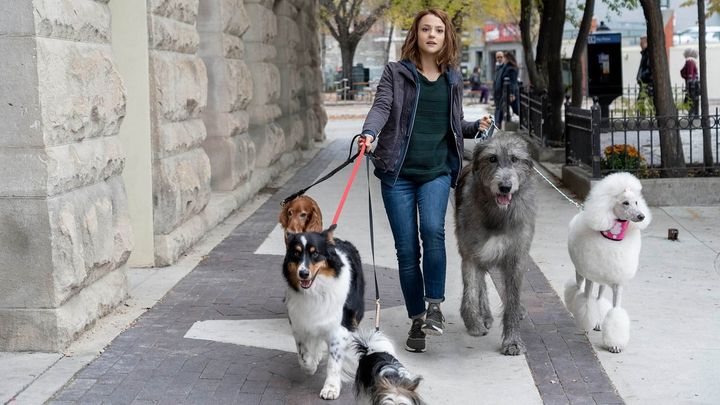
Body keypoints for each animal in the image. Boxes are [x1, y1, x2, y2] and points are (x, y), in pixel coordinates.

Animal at [282, 224, 366, 398]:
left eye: (315, 253)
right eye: (296, 253)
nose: (303, 273)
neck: (316, 290)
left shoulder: (339, 328)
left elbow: (334, 362)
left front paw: (331, 388)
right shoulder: (300, 324)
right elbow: (304, 357)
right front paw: (311, 364)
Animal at [456, 133, 536, 354]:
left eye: (515, 159)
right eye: (492, 158)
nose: (505, 187)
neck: (498, 214)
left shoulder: (516, 256)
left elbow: (512, 299)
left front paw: (512, 341)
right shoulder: (471, 251)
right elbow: (471, 289)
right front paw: (473, 322)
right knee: (481, 282)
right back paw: (484, 315)